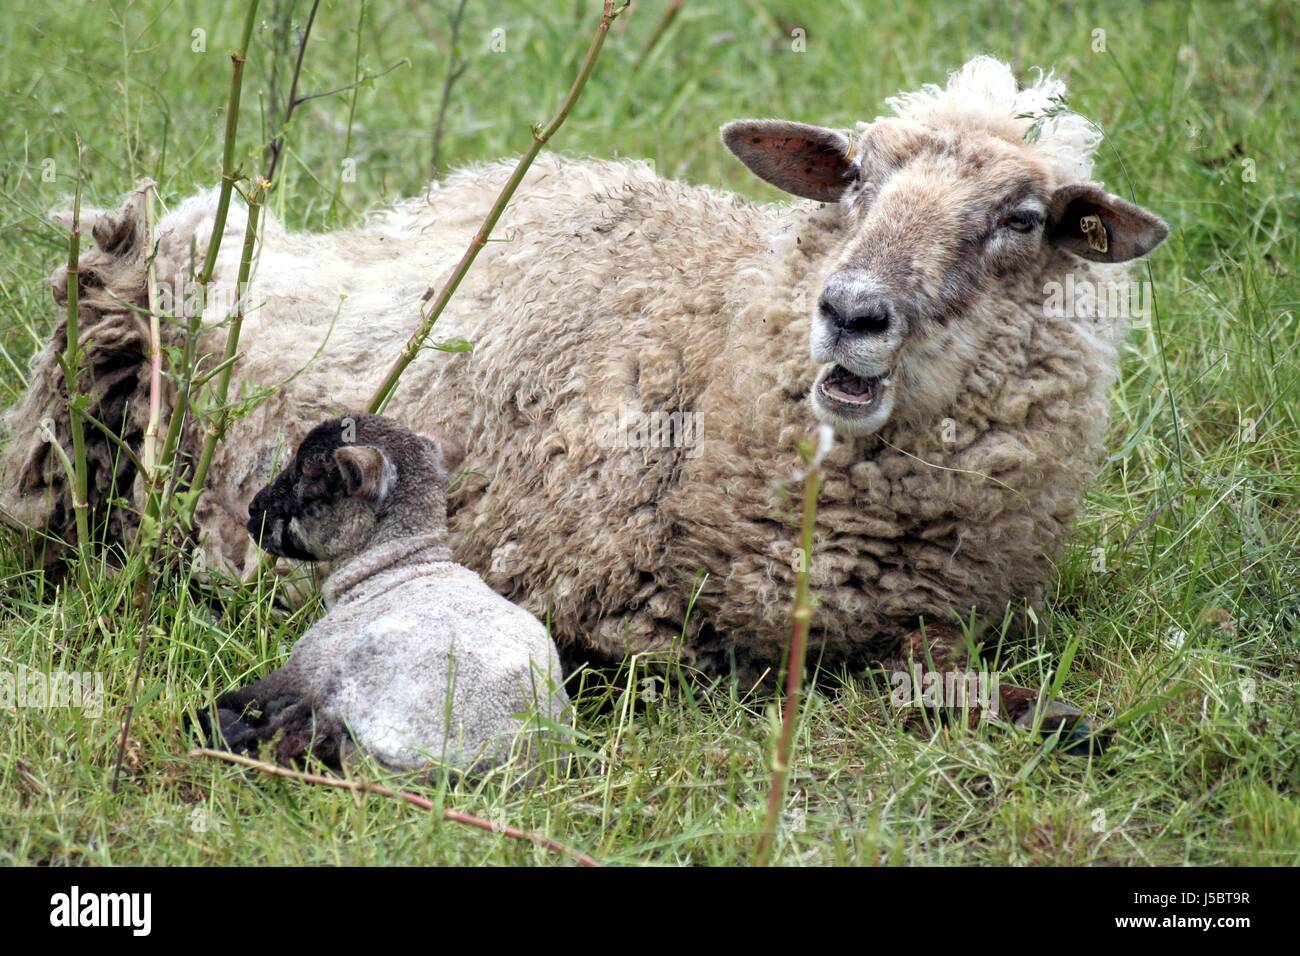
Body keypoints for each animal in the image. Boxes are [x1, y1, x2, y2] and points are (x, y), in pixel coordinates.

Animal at [205, 416, 566, 775]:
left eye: (309, 475)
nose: (253, 509)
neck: (395, 567)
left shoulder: (312, 660)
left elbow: (250, 693)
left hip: (364, 675)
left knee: (284, 735)